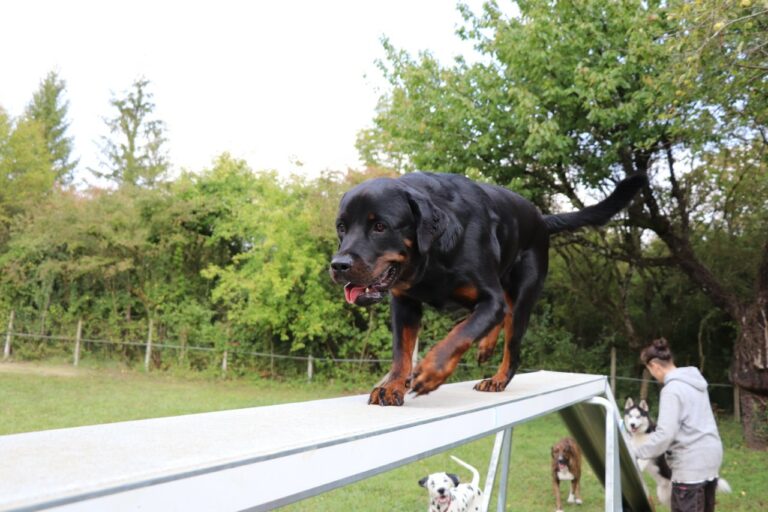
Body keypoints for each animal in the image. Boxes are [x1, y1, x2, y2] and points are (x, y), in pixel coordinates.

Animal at [330, 172, 640, 404]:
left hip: (524, 295)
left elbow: (458, 334)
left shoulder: (489, 298)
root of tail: (541, 219)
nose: (338, 264)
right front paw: (392, 386)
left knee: (511, 343)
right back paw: (485, 347)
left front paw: (431, 371)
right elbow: (401, 351)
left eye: (380, 226)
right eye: (341, 227)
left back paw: (498, 378)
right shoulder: (404, 304)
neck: (432, 256)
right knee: (498, 317)